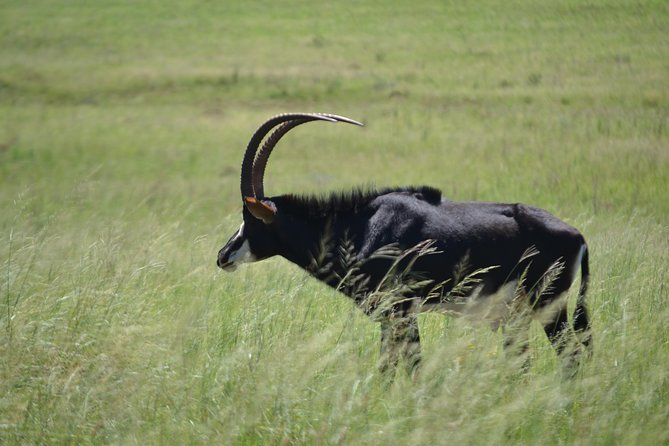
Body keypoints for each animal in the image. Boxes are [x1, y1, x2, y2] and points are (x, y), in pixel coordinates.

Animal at [215, 113, 588, 374]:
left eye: (250, 219)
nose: (222, 256)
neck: (362, 226)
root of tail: (577, 236)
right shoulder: (389, 317)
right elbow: (393, 365)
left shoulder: (400, 311)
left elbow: (407, 365)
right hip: (520, 316)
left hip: (549, 306)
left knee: (571, 355)